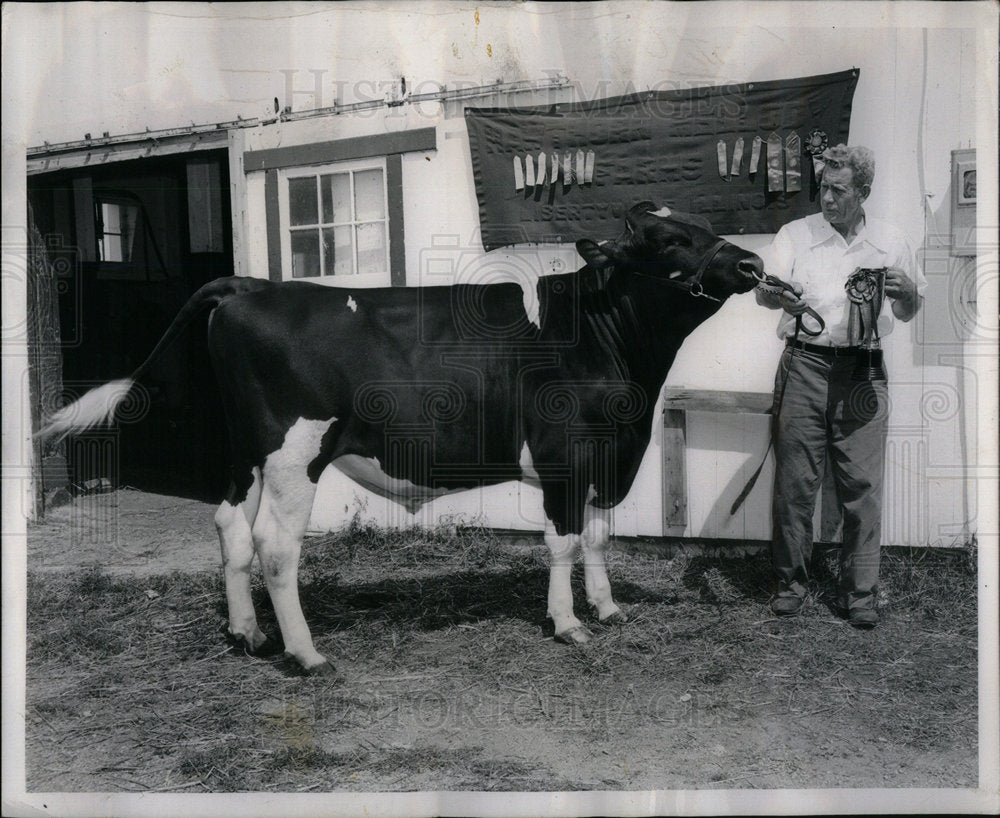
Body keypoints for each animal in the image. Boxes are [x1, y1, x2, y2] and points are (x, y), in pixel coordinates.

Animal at [35, 201, 760, 672]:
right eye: (668, 239)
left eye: (702, 228)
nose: (753, 262)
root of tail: (253, 286)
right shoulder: (564, 458)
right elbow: (563, 544)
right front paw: (569, 624)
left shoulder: (607, 458)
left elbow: (599, 538)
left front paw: (607, 611)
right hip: (296, 453)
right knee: (275, 545)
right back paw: (307, 654)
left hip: (249, 453)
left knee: (230, 527)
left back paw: (250, 635)